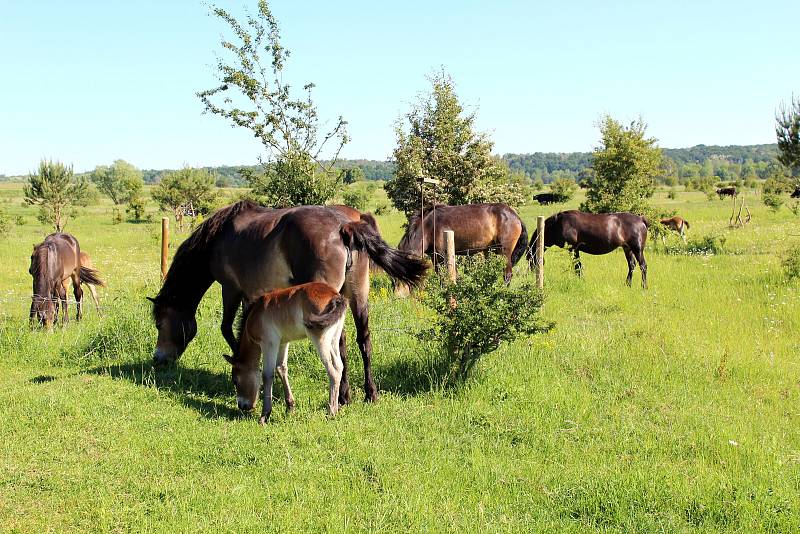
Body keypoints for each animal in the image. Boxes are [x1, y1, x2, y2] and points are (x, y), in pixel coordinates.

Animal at [148, 203, 428, 404]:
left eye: (160, 323)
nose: (158, 359)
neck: (220, 237)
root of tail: (345, 226)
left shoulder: (233, 289)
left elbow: (227, 328)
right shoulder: (252, 295)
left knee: (338, 342)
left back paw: (343, 395)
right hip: (357, 295)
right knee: (362, 340)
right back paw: (367, 394)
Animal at [227, 282, 348, 426]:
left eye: (235, 380)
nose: (242, 406)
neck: (255, 314)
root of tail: (336, 296)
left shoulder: (269, 343)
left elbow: (267, 375)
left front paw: (264, 416)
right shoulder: (283, 342)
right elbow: (281, 368)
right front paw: (290, 407)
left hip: (319, 339)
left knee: (332, 371)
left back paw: (331, 412)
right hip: (334, 339)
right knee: (339, 366)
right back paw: (336, 409)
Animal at [396, 203, 532, 284]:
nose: (398, 295)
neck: (428, 227)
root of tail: (515, 216)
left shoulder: (442, 256)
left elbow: (447, 276)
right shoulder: (435, 257)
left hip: (504, 252)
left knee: (507, 274)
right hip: (491, 251)